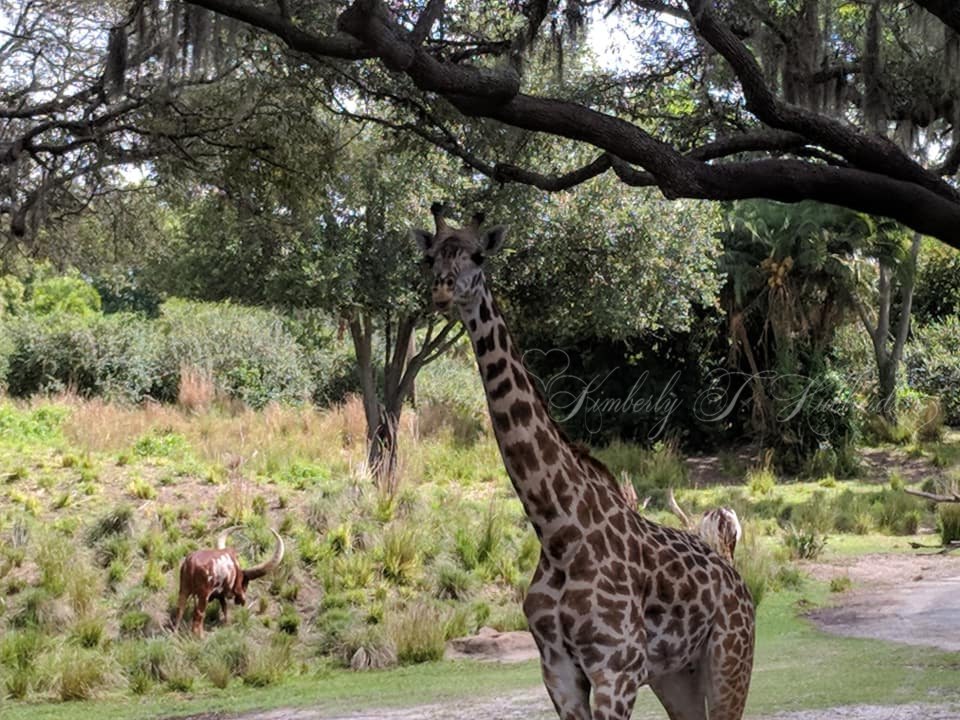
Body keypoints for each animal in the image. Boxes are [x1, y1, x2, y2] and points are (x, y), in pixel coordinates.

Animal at [412, 204, 756, 720]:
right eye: (430, 257)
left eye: (477, 255)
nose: (443, 291)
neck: (556, 530)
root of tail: (738, 579)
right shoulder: (558, 669)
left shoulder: (617, 667)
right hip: (677, 676)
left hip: (731, 661)